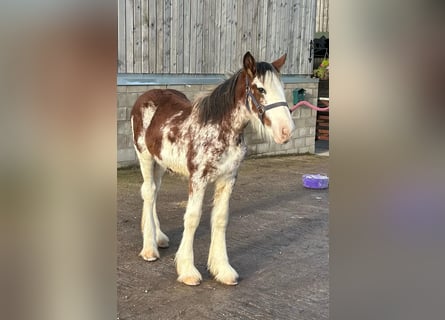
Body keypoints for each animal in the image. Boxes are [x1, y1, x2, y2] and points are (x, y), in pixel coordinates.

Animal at [129, 51, 294, 286]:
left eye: (282, 87)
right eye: (260, 89)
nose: (286, 131)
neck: (220, 129)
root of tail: (146, 96)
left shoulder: (228, 178)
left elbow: (220, 218)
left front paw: (222, 269)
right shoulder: (198, 179)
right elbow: (192, 218)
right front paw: (188, 270)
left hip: (160, 163)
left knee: (152, 193)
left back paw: (158, 238)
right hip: (144, 156)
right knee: (149, 192)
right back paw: (149, 248)